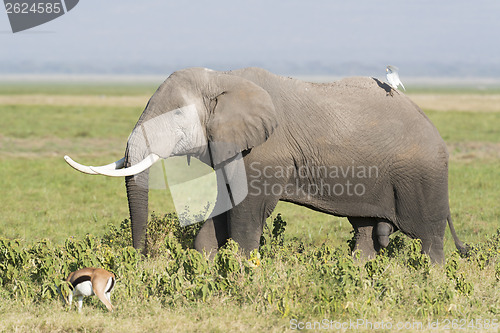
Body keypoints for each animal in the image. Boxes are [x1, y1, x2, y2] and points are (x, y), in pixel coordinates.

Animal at [64, 66, 466, 264]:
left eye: (176, 117)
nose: (139, 260)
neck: (223, 79)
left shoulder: (263, 153)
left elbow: (247, 211)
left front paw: (241, 272)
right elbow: (221, 208)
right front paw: (204, 268)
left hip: (424, 176)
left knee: (429, 237)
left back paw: (433, 278)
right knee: (366, 231)